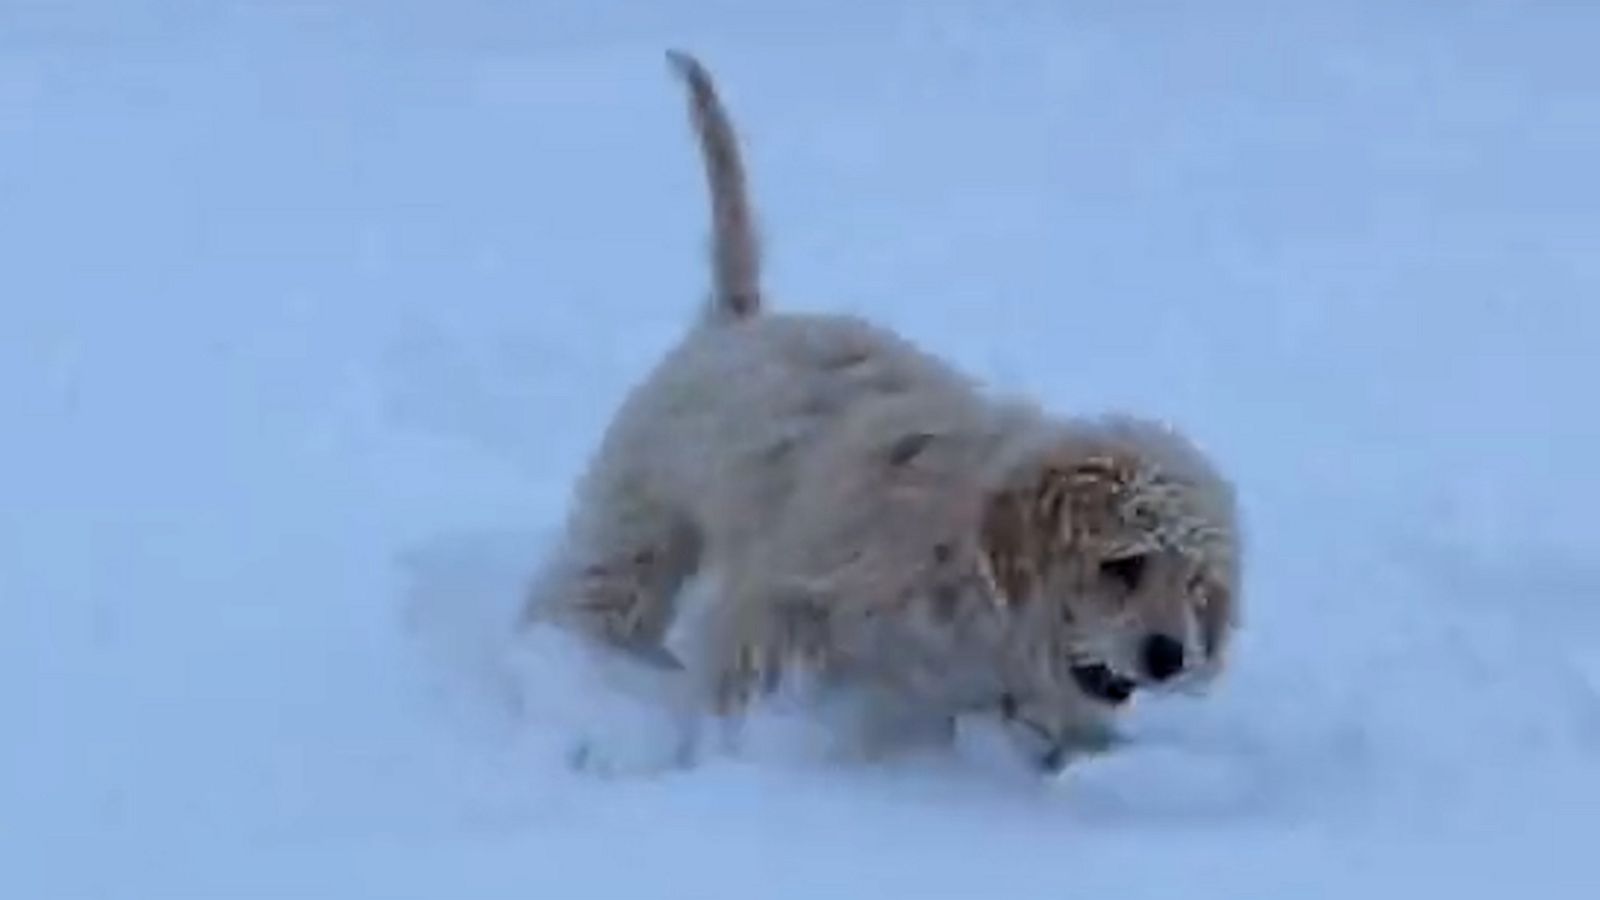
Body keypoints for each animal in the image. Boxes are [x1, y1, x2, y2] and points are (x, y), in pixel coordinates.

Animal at [518, 49, 1241, 768]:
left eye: (1196, 585)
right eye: (1124, 565)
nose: (1170, 657)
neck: (968, 555)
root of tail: (737, 321)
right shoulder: (793, 599)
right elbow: (751, 672)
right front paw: (741, 750)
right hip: (637, 520)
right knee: (598, 590)